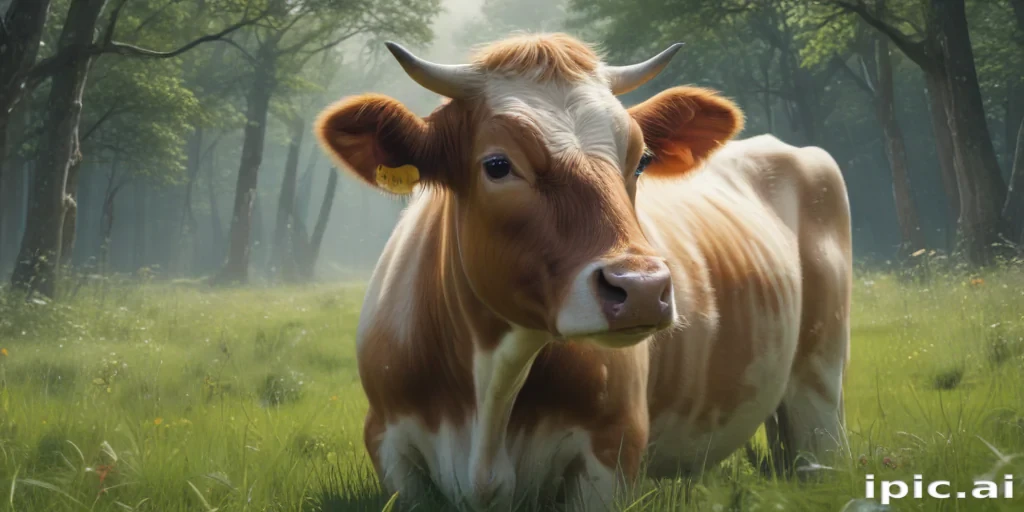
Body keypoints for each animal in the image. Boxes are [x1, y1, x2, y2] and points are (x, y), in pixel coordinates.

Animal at [314, 33, 852, 511]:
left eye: (642, 160)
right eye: (497, 164)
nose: (642, 288)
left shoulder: (611, 451)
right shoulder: (390, 447)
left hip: (820, 386)